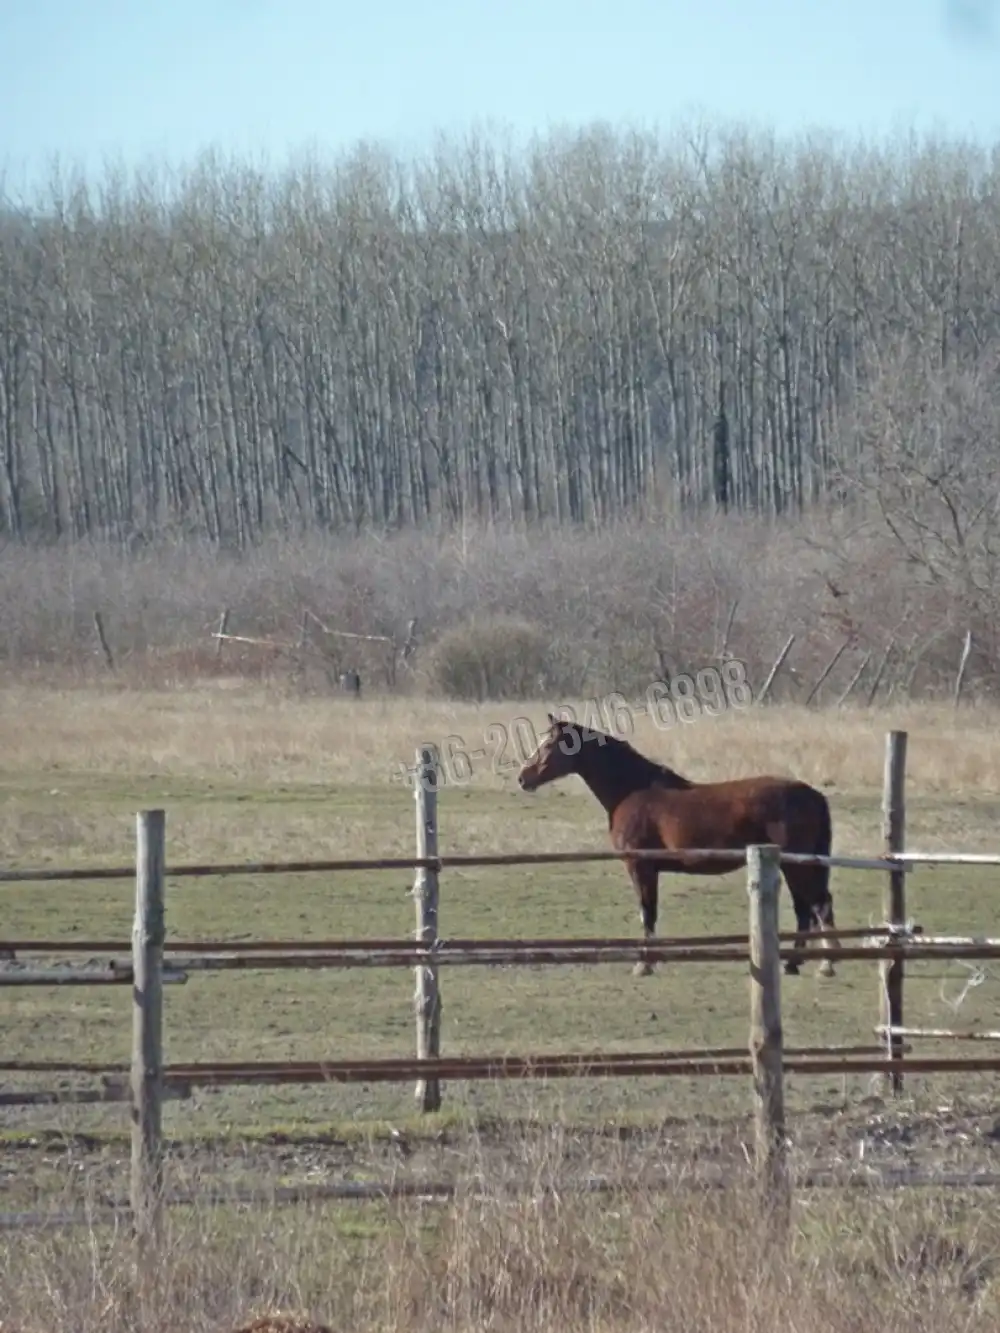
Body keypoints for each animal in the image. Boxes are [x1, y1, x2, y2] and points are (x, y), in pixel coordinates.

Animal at [517, 719, 837, 981]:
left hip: (797, 865)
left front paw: (644, 964)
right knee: (805, 909)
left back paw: (825, 965)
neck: (633, 790)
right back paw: (793, 964)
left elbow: (647, 913)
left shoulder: (640, 867)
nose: (523, 778)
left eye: (548, 745)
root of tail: (813, 795)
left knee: (818, 906)